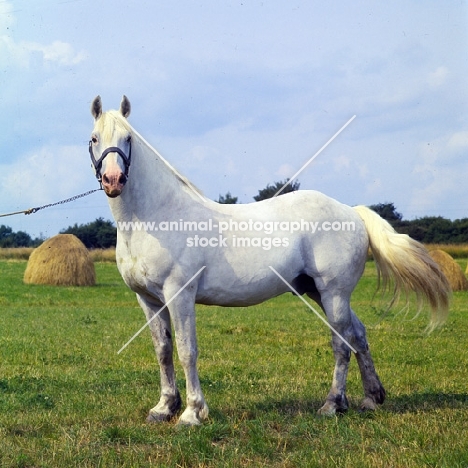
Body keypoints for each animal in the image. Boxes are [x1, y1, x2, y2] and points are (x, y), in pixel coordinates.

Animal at [88, 97, 450, 426]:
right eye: (94, 138)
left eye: (128, 138)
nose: (113, 180)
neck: (157, 217)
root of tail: (351, 212)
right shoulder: (148, 300)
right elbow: (163, 351)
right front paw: (164, 408)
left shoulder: (180, 294)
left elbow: (187, 351)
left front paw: (192, 413)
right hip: (319, 292)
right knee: (358, 334)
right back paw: (371, 399)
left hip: (334, 294)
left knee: (341, 343)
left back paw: (332, 404)